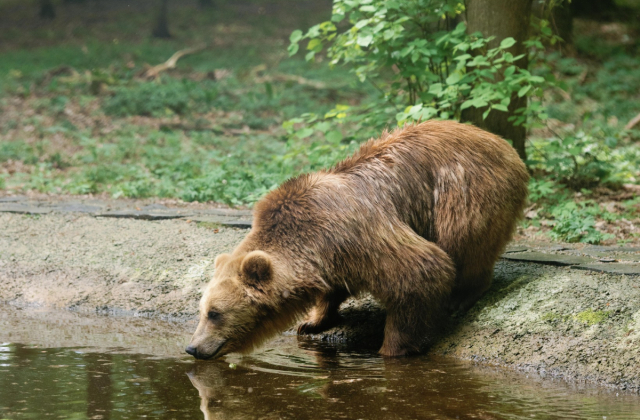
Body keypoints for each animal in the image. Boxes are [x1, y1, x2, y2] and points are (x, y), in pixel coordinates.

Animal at [185, 120, 528, 360]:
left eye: (215, 313)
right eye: (201, 309)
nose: (193, 347)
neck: (310, 245)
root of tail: (506, 147)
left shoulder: (357, 235)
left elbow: (420, 272)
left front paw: (392, 348)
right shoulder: (336, 255)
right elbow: (331, 291)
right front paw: (311, 321)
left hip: (462, 190)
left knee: (465, 243)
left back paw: (461, 297)